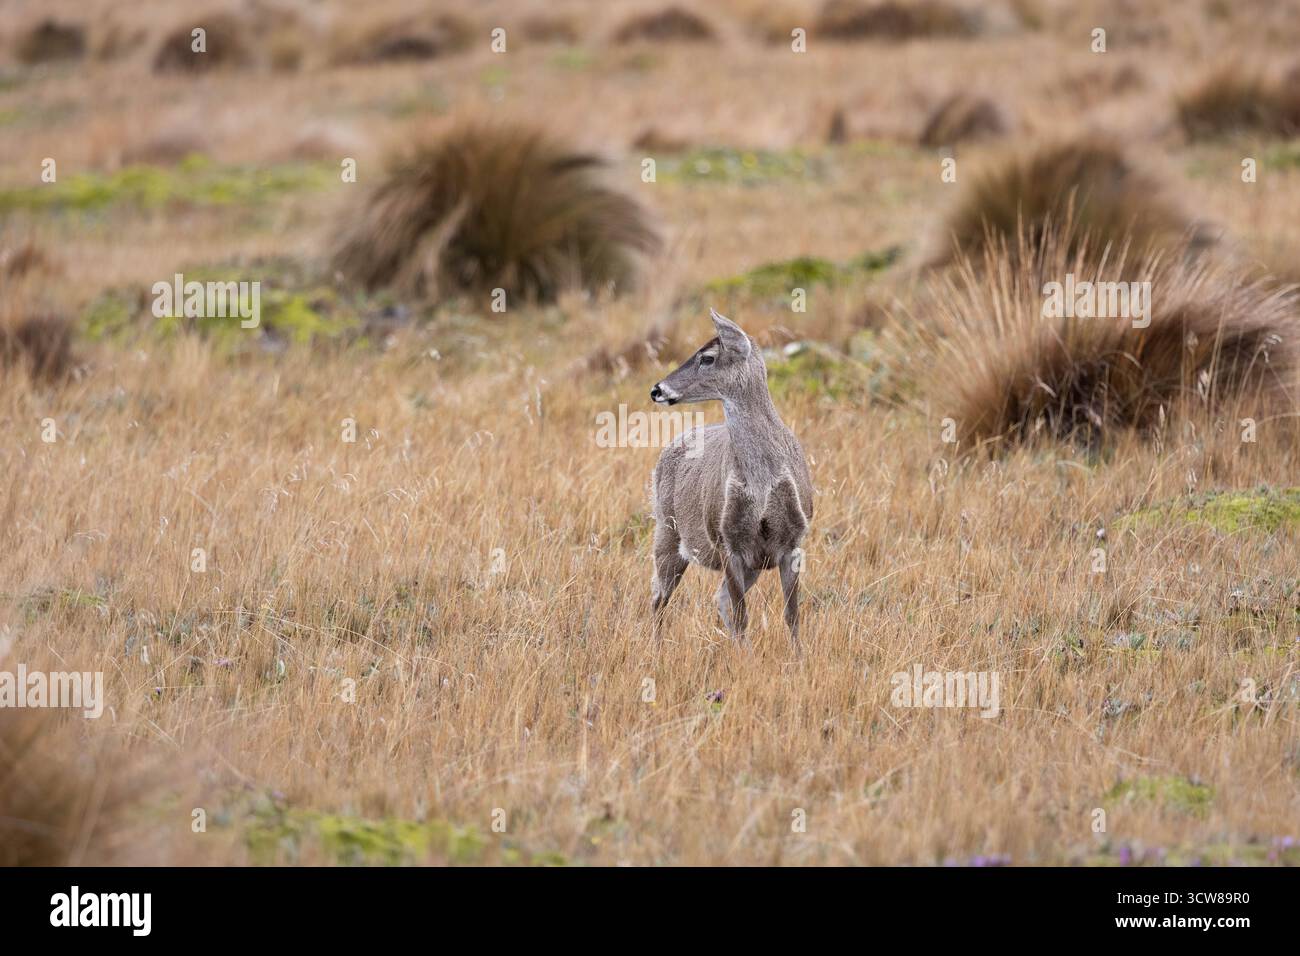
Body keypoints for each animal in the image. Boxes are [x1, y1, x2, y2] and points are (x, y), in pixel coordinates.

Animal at [648, 309, 814, 655]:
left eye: (707, 357)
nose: (656, 390)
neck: (762, 481)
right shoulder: (725, 539)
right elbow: (742, 615)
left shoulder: (793, 541)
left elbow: (792, 614)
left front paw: (799, 659)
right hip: (666, 530)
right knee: (659, 597)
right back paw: (655, 650)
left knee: (717, 599)